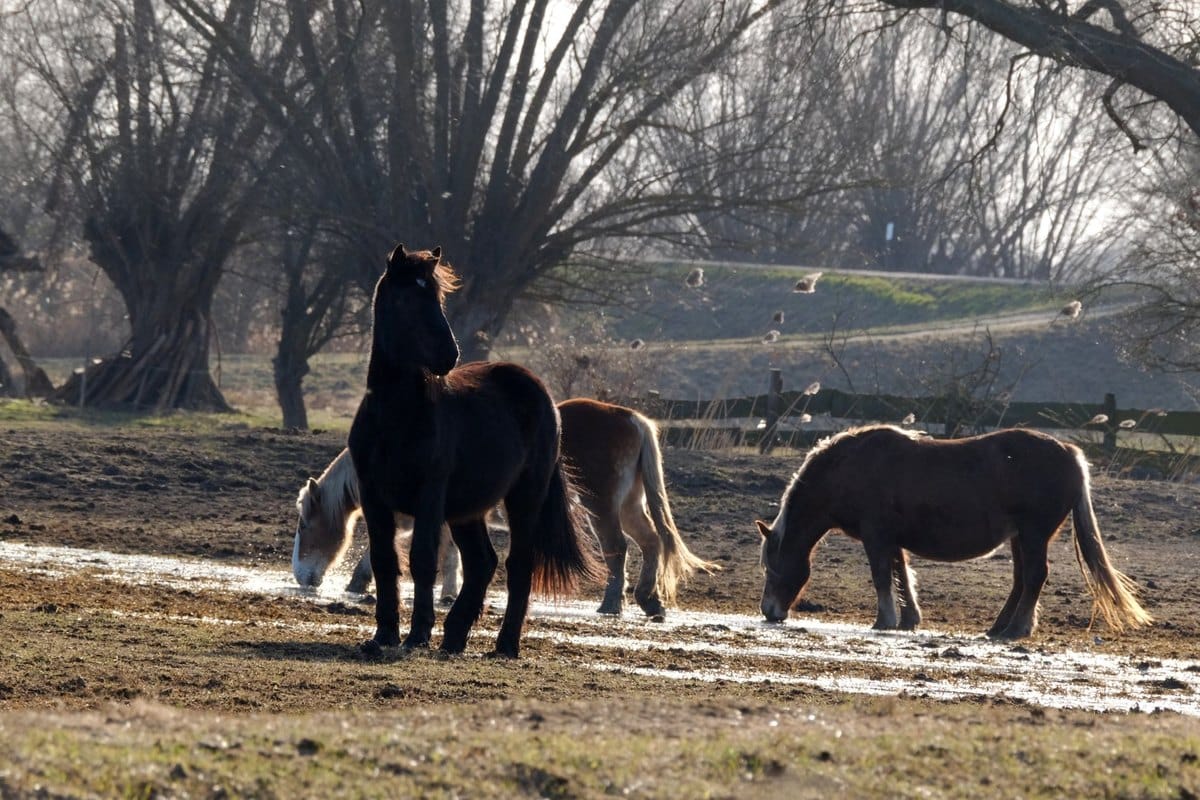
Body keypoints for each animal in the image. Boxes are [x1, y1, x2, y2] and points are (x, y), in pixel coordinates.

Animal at [294, 398, 718, 619]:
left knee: (619, 549)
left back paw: (612, 603)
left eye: (303, 525)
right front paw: (450, 591)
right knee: (651, 543)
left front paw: (357, 582)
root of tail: (631, 418)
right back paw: (649, 600)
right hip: (630, 505)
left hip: (602, 507)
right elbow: (452, 555)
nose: (301, 577)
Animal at [348, 244, 602, 658]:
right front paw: (384, 635)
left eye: (437, 298)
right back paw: (454, 637)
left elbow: (422, 559)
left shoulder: (430, 495)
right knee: (483, 562)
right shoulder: (373, 496)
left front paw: (417, 634)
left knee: (518, 565)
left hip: (524, 497)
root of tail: (541, 394)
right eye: (405, 298)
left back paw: (505, 645)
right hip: (467, 510)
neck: (396, 416)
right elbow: (384, 560)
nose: (448, 355)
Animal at [757, 425, 1152, 639]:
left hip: (1033, 534)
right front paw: (908, 620)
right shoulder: (892, 540)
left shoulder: (876, 536)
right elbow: (902, 575)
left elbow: (882, 576)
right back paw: (1000, 627)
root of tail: (1070, 453)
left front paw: (884, 621)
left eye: (772, 567)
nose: (769, 612)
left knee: (1036, 576)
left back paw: (1017, 629)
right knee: (1022, 580)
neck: (849, 469)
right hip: (1021, 538)